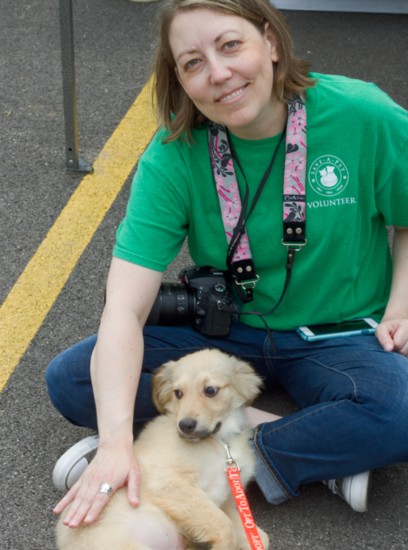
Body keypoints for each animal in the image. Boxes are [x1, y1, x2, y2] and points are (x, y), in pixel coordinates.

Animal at [55, 352, 270, 548]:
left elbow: (259, 538)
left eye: (210, 390)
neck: (221, 442)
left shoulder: (228, 500)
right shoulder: (168, 483)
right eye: (178, 393)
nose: (185, 426)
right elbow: (225, 527)